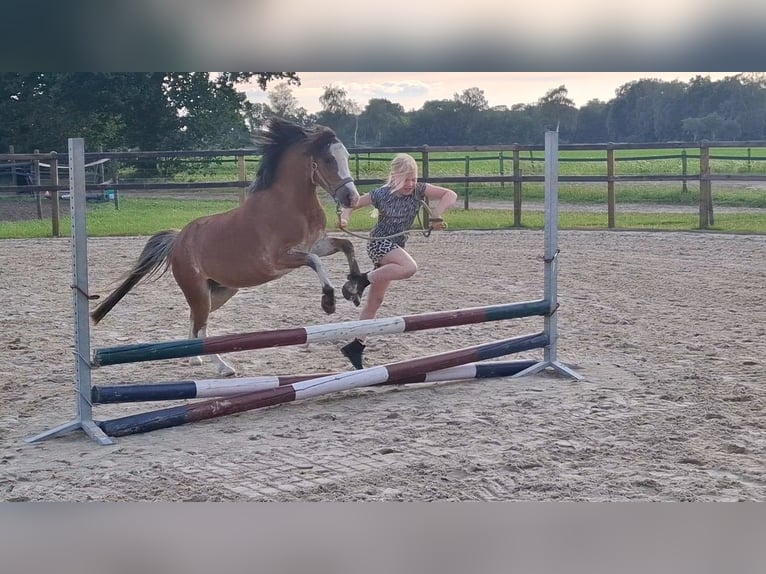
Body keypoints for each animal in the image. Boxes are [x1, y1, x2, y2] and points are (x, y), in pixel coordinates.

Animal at [90, 117, 368, 377]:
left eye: (346, 156)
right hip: (200, 292)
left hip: (219, 292)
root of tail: (178, 239)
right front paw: (329, 300)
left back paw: (195, 357)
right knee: (201, 327)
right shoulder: (280, 259)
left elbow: (347, 245)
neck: (291, 205)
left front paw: (354, 287)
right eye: (328, 160)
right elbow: (316, 262)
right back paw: (223, 367)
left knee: (195, 321)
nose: (351, 199)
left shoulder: (315, 244)